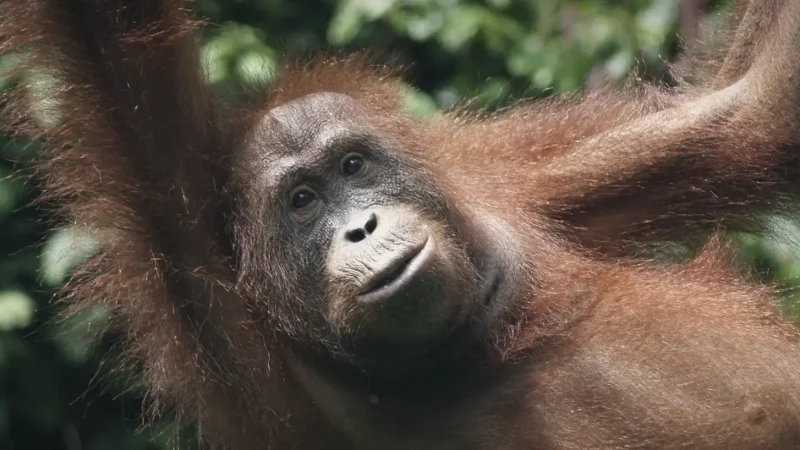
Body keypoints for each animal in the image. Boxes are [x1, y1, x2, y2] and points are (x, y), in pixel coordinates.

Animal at [3, 0, 800, 449]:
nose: (360, 227)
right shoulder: (200, 266)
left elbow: (750, 114)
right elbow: (114, 50)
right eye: (303, 200)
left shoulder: (510, 178)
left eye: (354, 165)